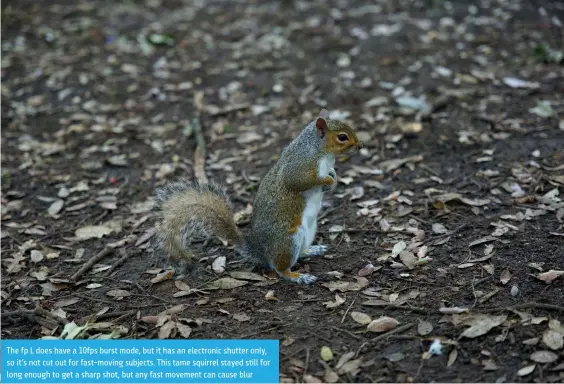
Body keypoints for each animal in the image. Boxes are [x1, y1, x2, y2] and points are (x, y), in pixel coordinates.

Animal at [154, 109, 364, 284]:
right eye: (342, 137)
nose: (360, 146)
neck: (321, 151)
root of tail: (259, 250)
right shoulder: (299, 166)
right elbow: (299, 181)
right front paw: (327, 180)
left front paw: (333, 179)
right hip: (288, 240)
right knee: (280, 268)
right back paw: (298, 276)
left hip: (309, 231)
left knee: (298, 255)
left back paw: (311, 250)